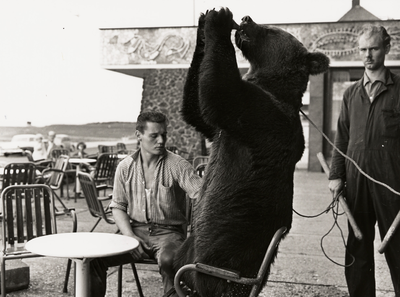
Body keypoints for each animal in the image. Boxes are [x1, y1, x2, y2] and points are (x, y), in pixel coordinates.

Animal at [173, 7, 330, 296]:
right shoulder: (221, 130)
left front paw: (220, 20)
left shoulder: (264, 116)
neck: (271, 82)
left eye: (269, 30)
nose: (246, 19)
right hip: (190, 249)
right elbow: (196, 110)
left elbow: (220, 94)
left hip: (223, 255)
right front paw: (203, 23)